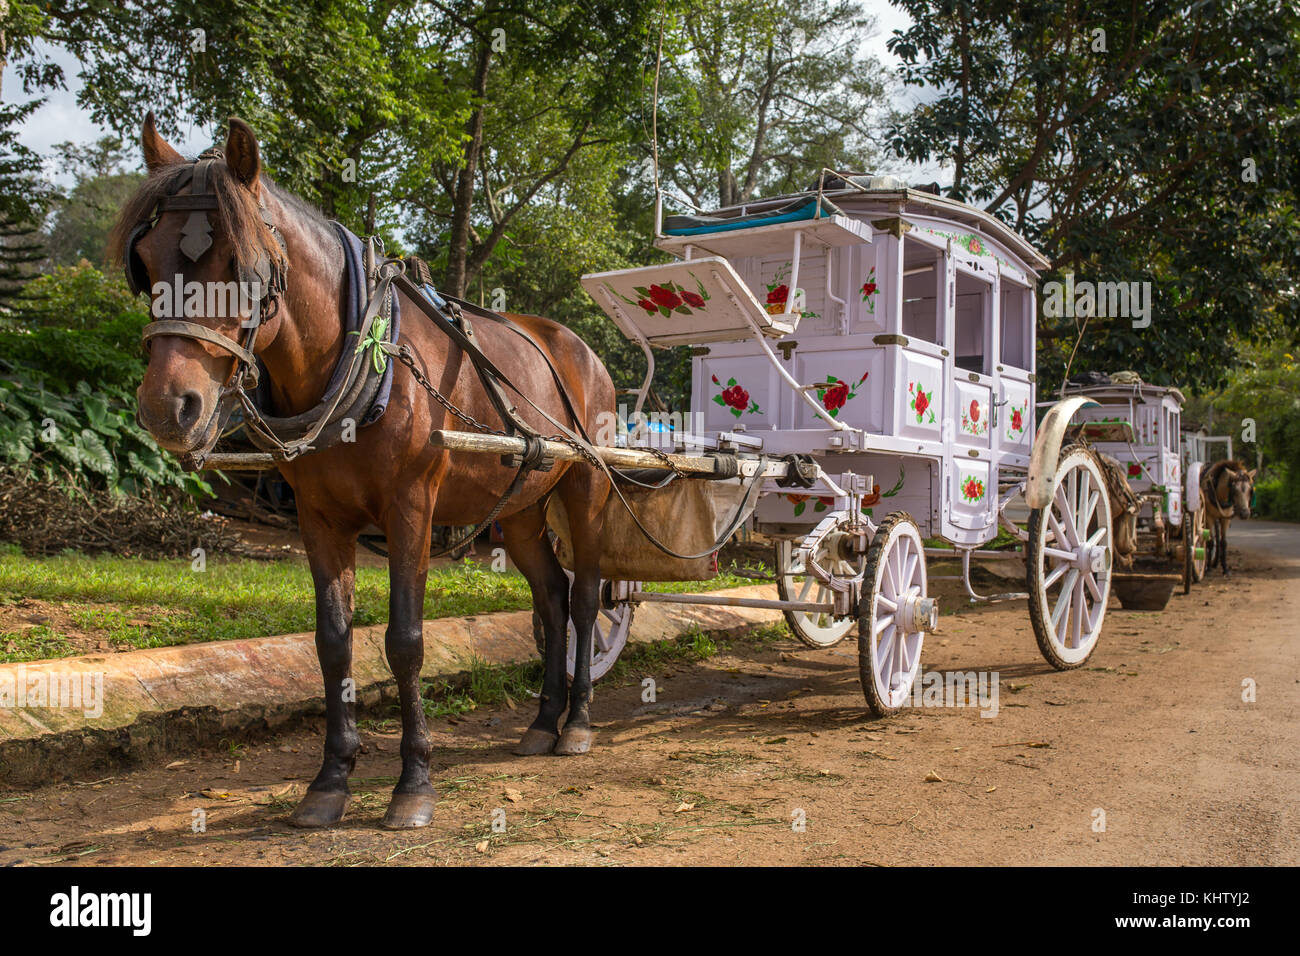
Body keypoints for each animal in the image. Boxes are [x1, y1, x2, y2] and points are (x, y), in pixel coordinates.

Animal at [113, 114, 615, 829]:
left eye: (242, 267)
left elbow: (404, 642)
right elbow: (333, 643)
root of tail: (577, 345)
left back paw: (575, 724)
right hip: (520, 505)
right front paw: (329, 781)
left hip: (587, 486)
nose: (167, 407)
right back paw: (543, 722)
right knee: (547, 594)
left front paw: (413, 783)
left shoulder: (411, 508)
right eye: (146, 263)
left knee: (582, 599)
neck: (357, 360)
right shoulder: (318, 518)